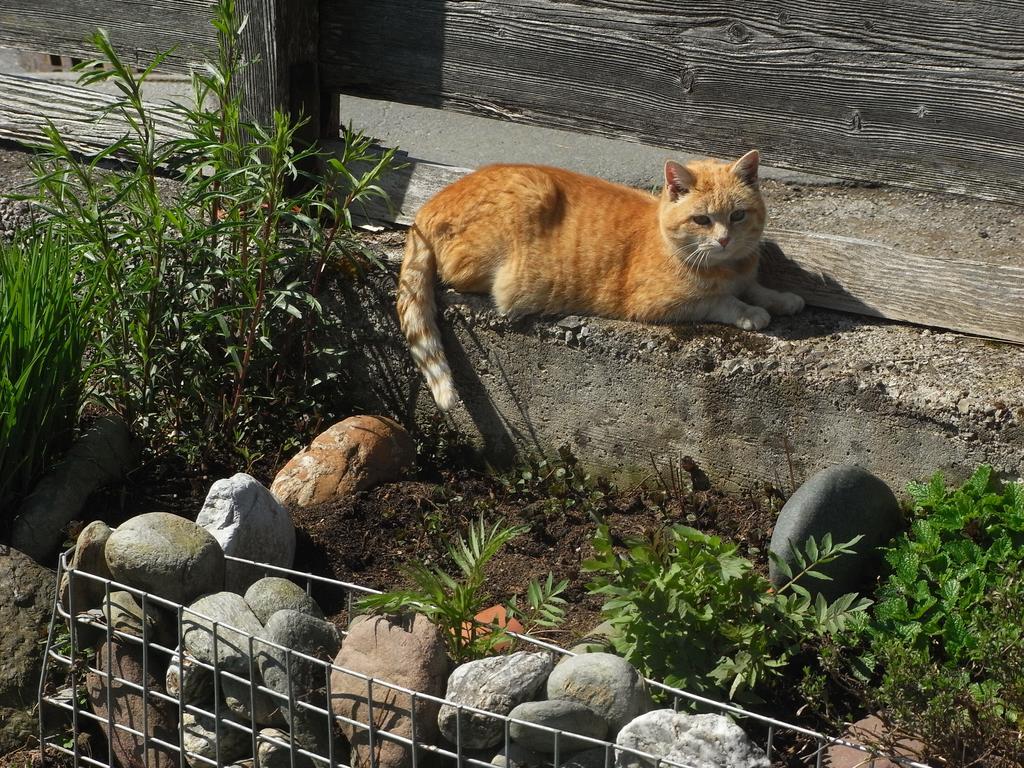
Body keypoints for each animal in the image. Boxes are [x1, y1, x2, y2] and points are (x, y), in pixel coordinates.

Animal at [395, 152, 802, 411]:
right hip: (525, 202)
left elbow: (755, 287)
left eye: (738, 216)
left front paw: (783, 298)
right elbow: (722, 300)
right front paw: (750, 313)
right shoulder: (660, 304)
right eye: (702, 220)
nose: (724, 240)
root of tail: (428, 204)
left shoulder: (743, 275)